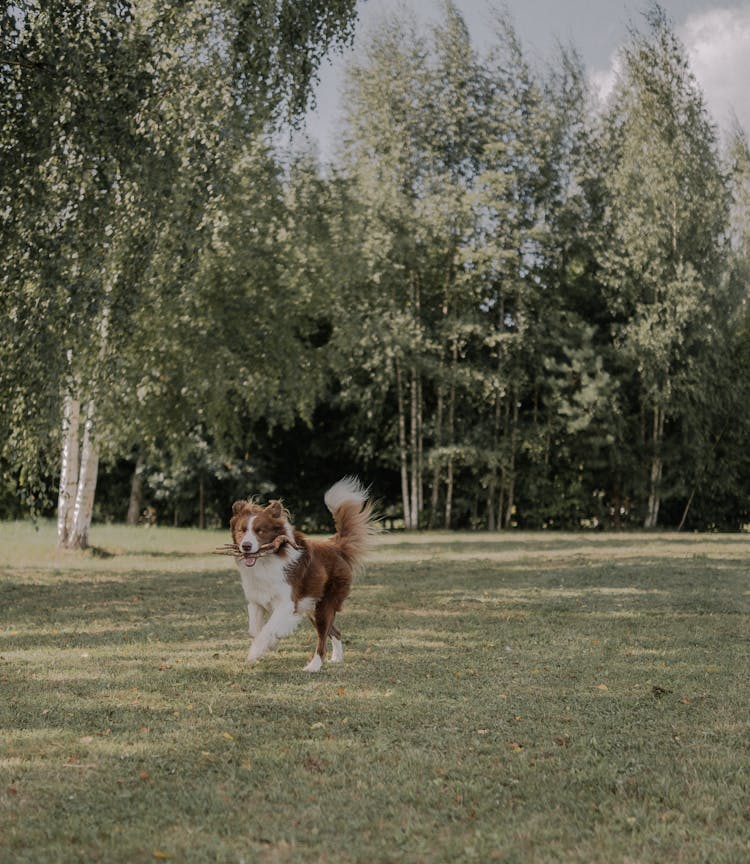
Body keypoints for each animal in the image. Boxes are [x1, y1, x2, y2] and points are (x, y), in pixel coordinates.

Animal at [228, 476, 378, 672]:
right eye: (242, 530)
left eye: (260, 531)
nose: (246, 546)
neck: (267, 560)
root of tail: (336, 547)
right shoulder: (256, 600)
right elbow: (255, 629)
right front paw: (271, 643)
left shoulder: (287, 603)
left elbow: (268, 628)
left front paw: (257, 651)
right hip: (312, 606)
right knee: (335, 632)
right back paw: (336, 658)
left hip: (324, 605)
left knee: (322, 639)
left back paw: (314, 666)